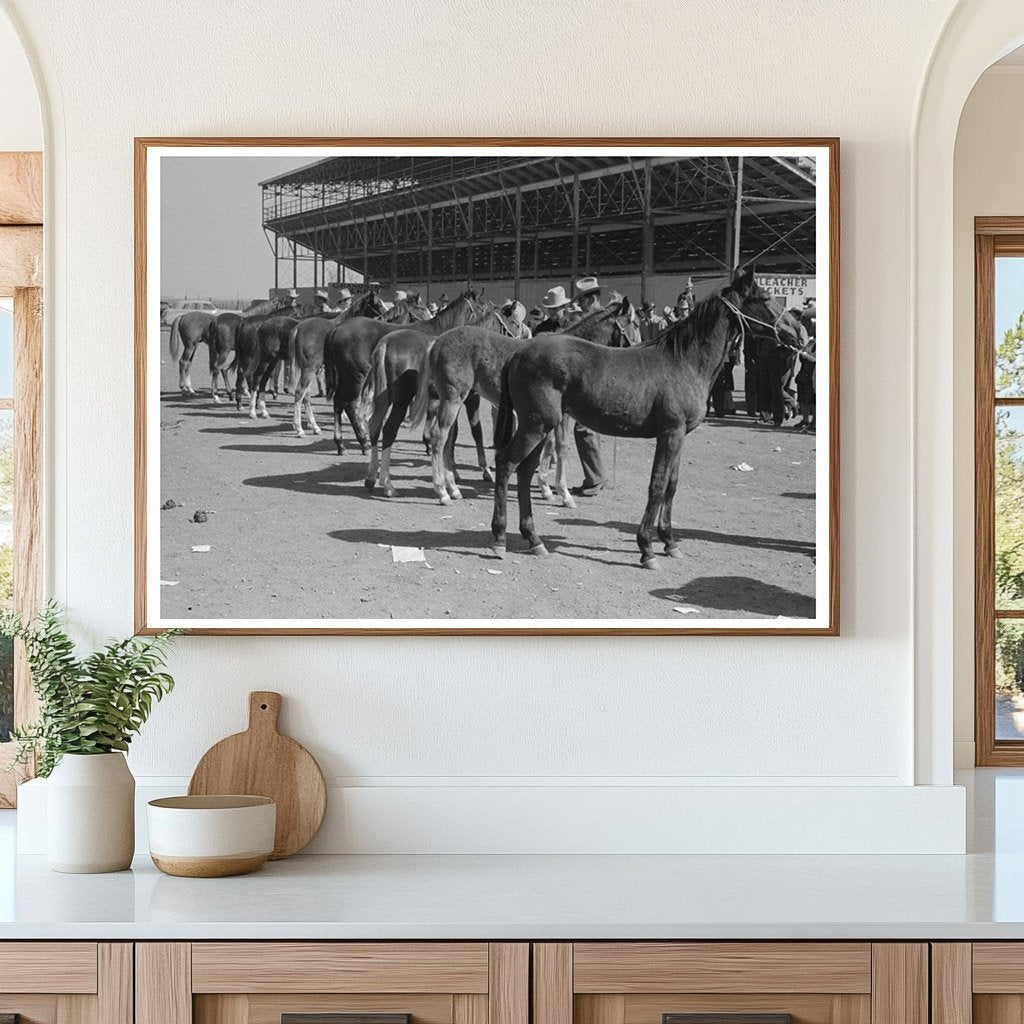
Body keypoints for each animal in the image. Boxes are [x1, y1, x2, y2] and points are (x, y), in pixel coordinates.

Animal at [407, 296, 638, 503]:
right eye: (633, 324)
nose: (639, 347)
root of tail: (437, 342)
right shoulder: (559, 414)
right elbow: (560, 446)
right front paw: (562, 493)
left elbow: (552, 445)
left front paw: (547, 488)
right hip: (453, 399)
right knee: (439, 438)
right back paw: (443, 492)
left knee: (448, 440)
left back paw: (454, 487)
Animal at [491, 268, 778, 573]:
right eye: (765, 297)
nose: (791, 328)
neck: (684, 361)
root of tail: (519, 353)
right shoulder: (670, 433)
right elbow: (658, 485)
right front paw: (647, 548)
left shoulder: (679, 436)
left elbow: (671, 486)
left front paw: (670, 542)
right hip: (536, 426)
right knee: (506, 464)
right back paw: (499, 538)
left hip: (540, 427)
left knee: (524, 471)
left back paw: (534, 538)